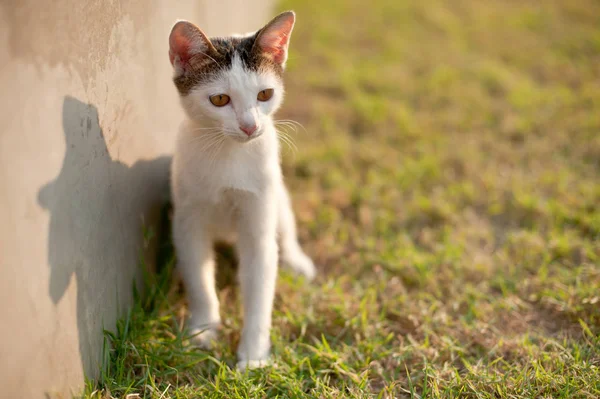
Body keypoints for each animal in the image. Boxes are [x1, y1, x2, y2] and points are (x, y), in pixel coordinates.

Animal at [164, 10, 314, 372]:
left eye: (264, 95)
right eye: (220, 99)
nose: (250, 127)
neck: (228, 154)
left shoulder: (259, 219)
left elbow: (260, 284)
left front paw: (254, 355)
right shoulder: (187, 220)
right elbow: (198, 276)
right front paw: (203, 329)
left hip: (278, 195)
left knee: (285, 229)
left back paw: (297, 260)